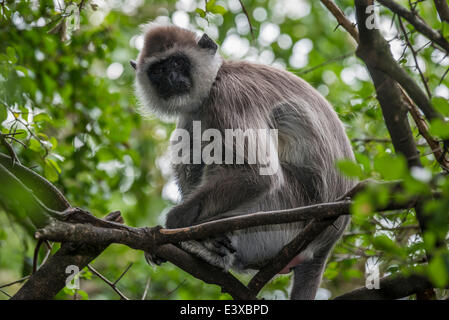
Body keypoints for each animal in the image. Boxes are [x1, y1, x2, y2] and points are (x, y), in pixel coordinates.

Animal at [131, 25, 356, 300]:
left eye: (177, 62)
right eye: (158, 70)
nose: (170, 78)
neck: (217, 77)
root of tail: (327, 241)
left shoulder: (228, 96)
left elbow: (255, 175)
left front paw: (173, 227)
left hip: (285, 213)